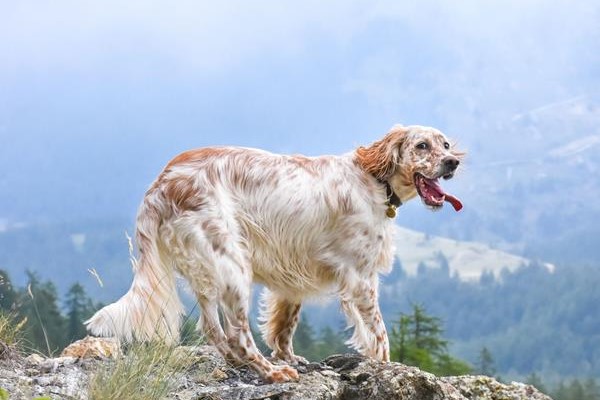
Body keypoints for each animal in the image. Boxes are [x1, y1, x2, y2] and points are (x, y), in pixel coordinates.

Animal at [85, 123, 464, 382]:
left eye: (445, 144)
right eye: (422, 145)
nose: (452, 162)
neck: (373, 179)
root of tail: (160, 185)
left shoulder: (293, 275)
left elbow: (284, 325)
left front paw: (290, 356)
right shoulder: (360, 277)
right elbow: (379, 334)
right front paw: (388, 366)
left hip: (207, 271)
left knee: (213, 329)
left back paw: (245, 364)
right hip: (232, 264)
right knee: (238, 335)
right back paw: (270, 372)